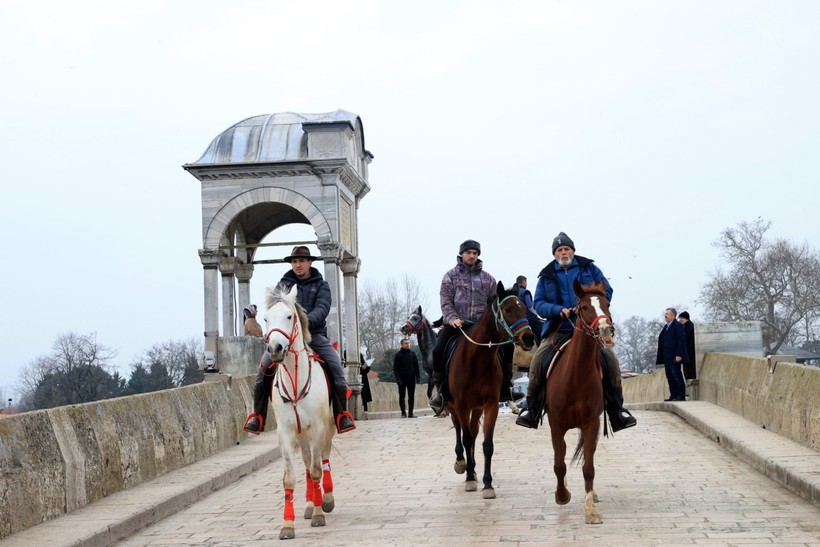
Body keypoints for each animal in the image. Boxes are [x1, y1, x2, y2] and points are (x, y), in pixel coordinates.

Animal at [266, 284, 336, 540]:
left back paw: (326, 499)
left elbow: (316, 471)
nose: (274, 349)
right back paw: (308, 504)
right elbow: (290, 478)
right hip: (301, 434)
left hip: (327, 429)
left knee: (323, 459)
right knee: (306, 462)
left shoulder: (317, 429)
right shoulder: (286, 433)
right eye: (265, 318)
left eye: (289, 316)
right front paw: (288, 525)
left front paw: (319, 514)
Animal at [446, 284, 536, 498]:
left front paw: (487, 484)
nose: (528, 337)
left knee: (472, 432)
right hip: (453, 406)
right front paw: (470, 479)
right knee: (460, 431)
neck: (477, 359)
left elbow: (486, 445)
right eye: (508, 309)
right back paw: (462, 464)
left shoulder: (490, 404)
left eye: (523, 309)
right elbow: (466, 439)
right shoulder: (461, 405)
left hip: (476, 408)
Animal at [548, 280, 612, 524]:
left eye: (607, 304)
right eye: (584, 307)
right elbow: (559, 464)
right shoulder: (556, 424)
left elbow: (588, 467)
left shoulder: (591, 423)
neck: (575, 376)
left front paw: (590, 510)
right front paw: (562, 495)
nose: (605, 329)